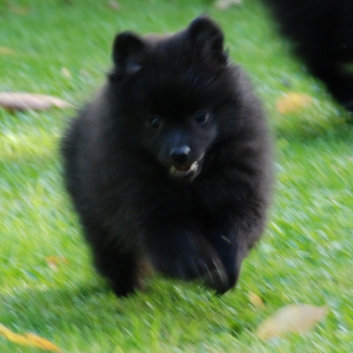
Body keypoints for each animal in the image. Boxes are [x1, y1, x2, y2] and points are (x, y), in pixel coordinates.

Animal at [60, 17, 270, 296]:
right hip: (96, 215)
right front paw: (199, 264)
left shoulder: (239, 191)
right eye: (154, 121)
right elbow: (176, 237)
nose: (180, 153)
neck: (191, 184)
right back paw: (126, 289)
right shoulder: (148, 207)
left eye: (201, 116)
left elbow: (234, 231)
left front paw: (225, 268)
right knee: (112, 252)